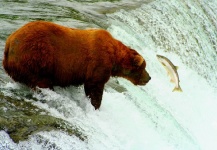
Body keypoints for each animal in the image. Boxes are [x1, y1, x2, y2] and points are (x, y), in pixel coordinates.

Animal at [2, 20, 151, 109]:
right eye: (143, 67)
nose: (149, 78)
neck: (114, 57)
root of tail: (9, 43)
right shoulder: (98, 62)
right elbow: (94, 87)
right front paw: (95, 106)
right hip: (37, 57)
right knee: (41, 81)